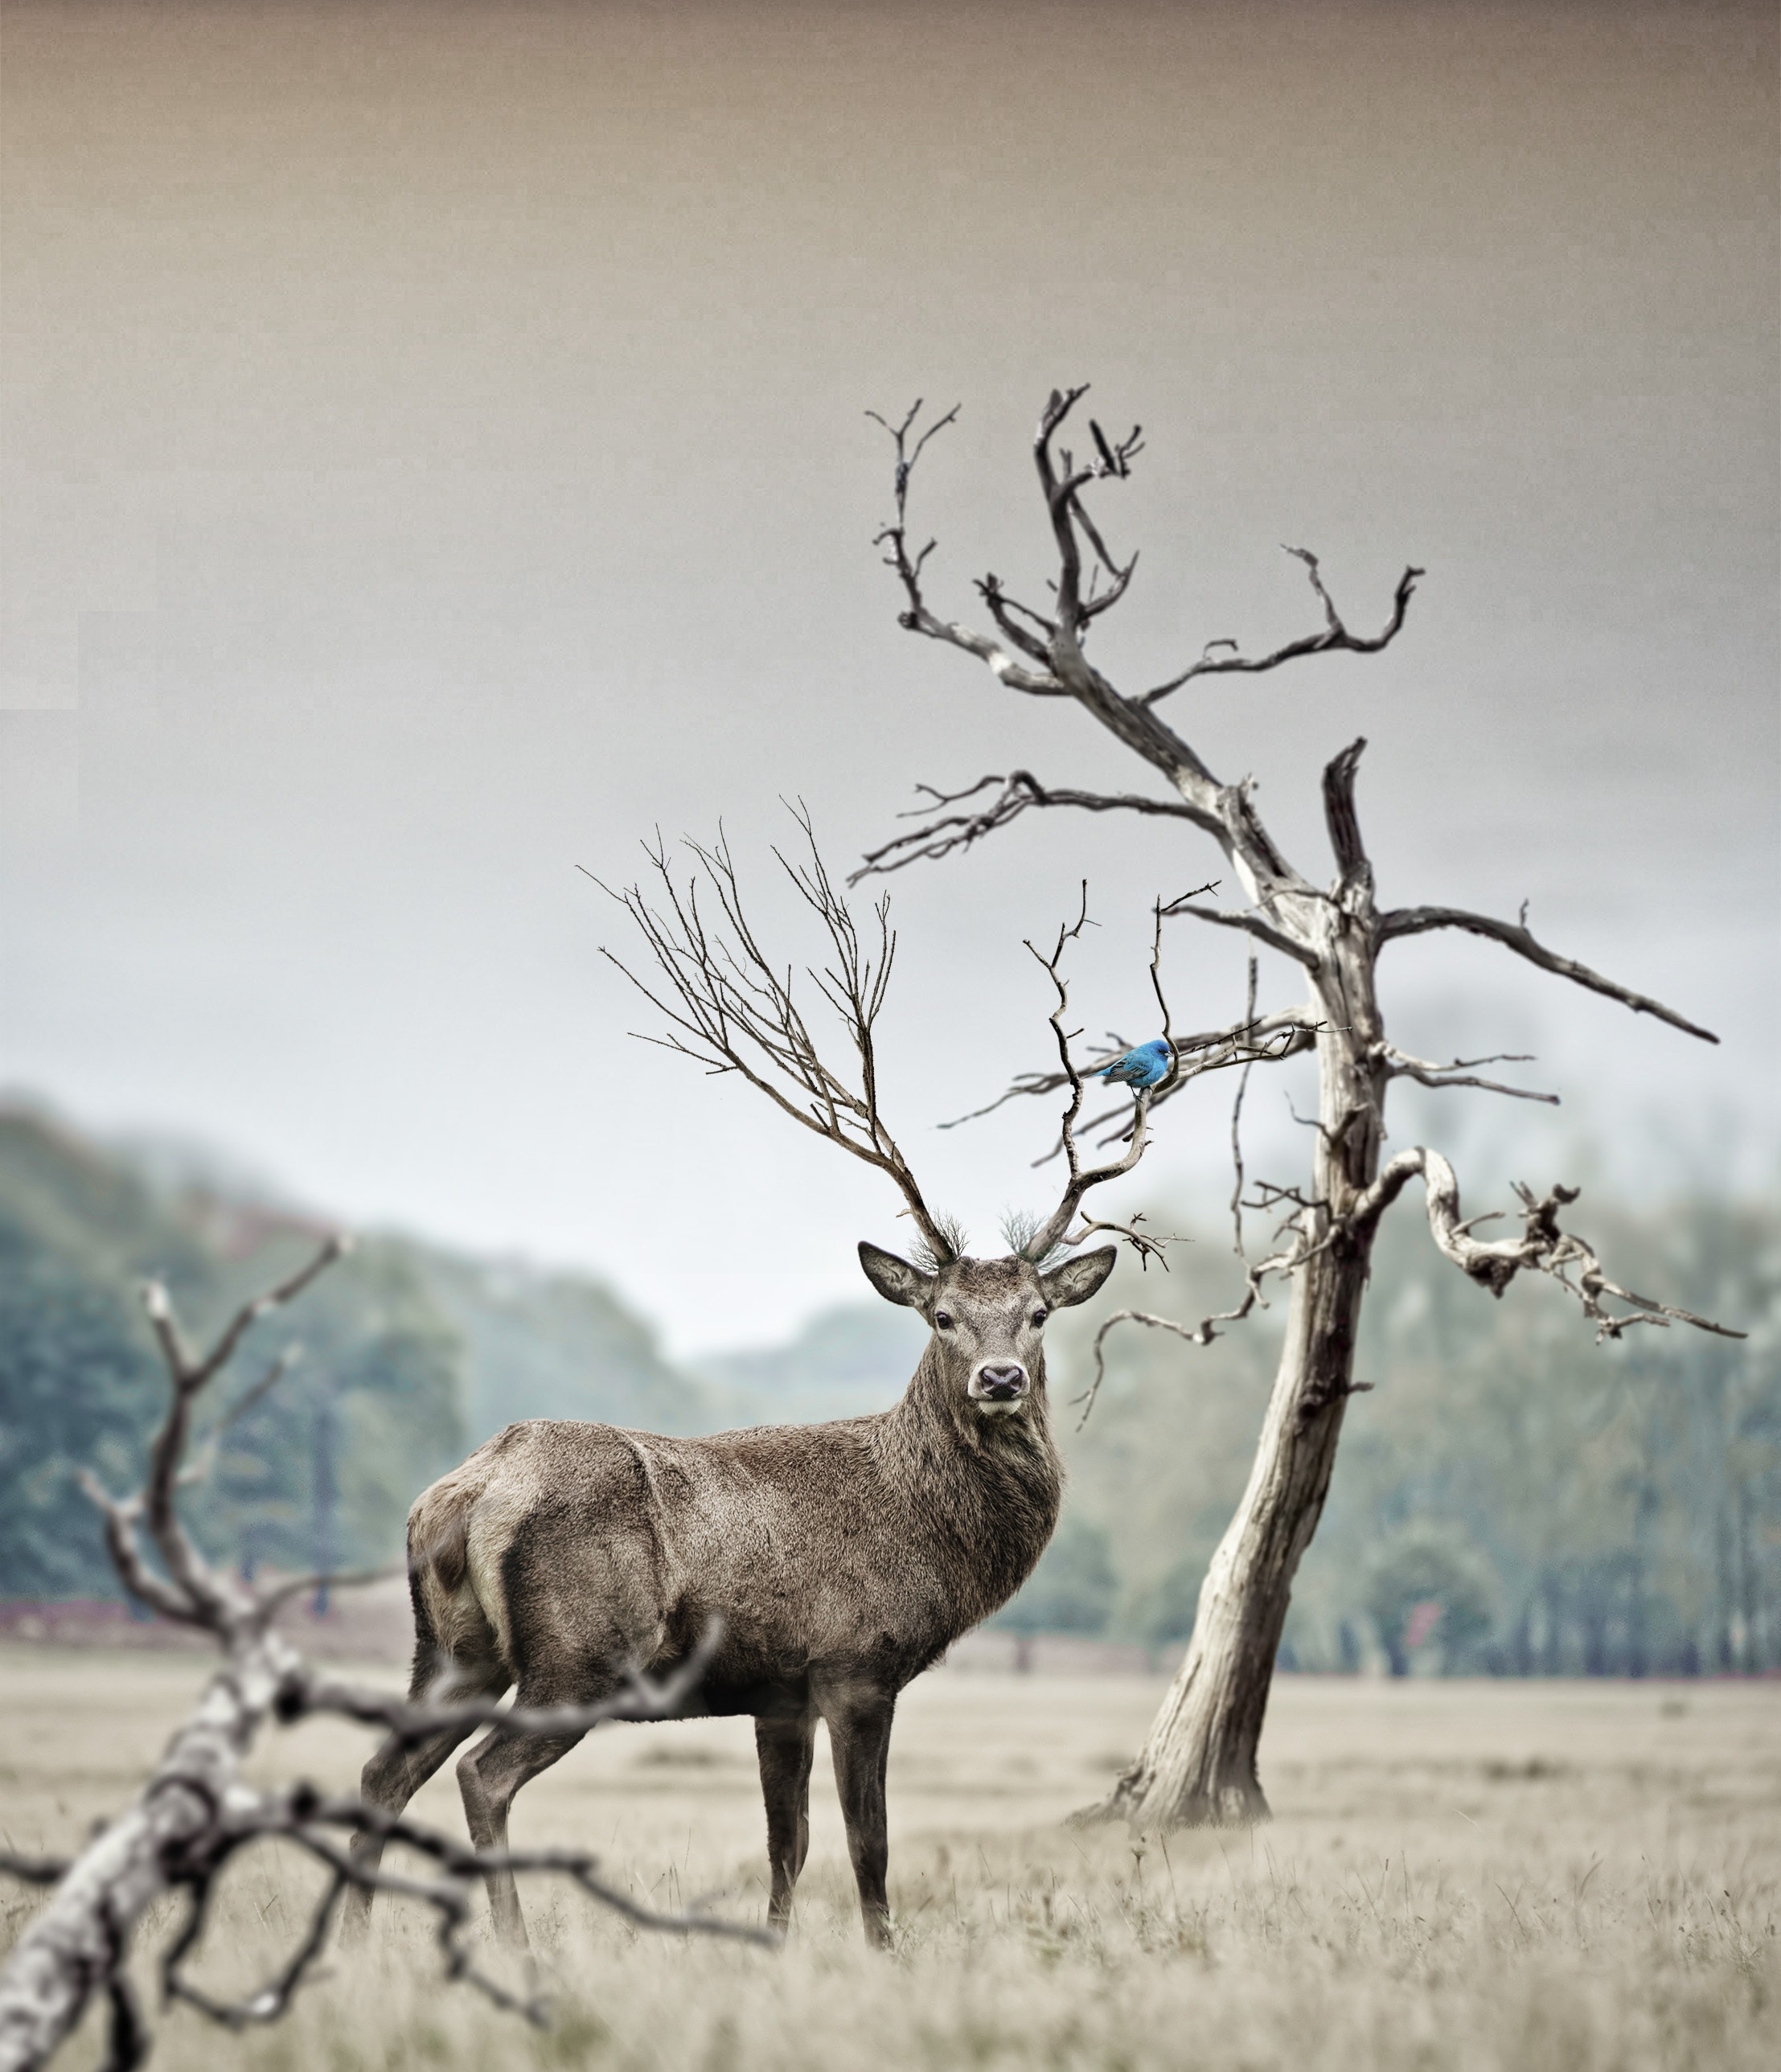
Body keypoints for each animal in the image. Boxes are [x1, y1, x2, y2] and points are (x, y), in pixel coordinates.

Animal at [346, 820, 1184, 1939]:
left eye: (1040, 1314)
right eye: (941, 1317)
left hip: (449, 1650)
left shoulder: (776, 1691)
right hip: (581, 1653)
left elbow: (787, 1847)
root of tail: (464, 1492)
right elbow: (868, 1847)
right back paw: (516, 1948)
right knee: (483, 1777)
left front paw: (775, 1951)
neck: (929, 1534)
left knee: (383, 1770)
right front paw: (883, 1954)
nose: (1002, 1377)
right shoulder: (856, 1664)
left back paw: (355, 1944)